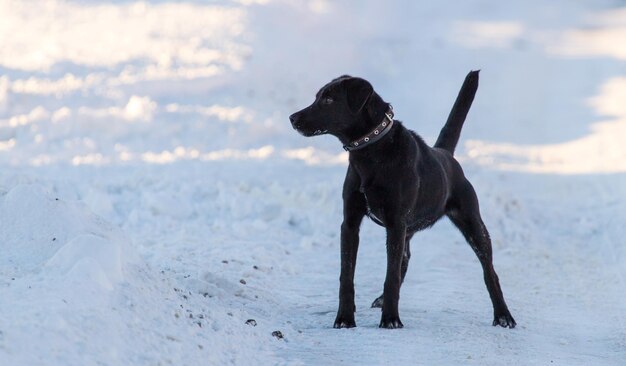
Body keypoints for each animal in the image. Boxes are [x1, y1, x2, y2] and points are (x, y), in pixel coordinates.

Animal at [288, 71, 512, 328]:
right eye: (317, 97)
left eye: (328, 100)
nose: (292, 118)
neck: (371, 152)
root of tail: (445, 155)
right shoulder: (351, 223)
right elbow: (347, 275)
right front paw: (344, 318)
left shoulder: (395, 223)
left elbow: (391, 276)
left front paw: (391, 320)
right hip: (408, 230)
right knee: (404, 260)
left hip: (472, 223)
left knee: (489, 271)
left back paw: (503, 315)